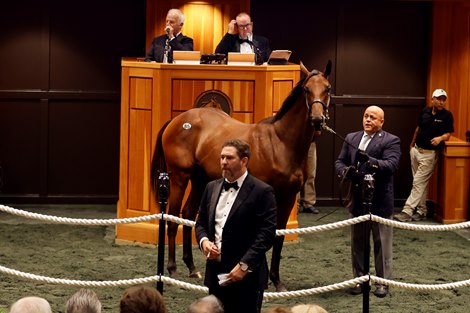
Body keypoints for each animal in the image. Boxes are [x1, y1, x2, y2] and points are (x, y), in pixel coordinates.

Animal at [151, 60, 330, 290]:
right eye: (306, 89)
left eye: (327, 88)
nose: (317, 120)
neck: (281, 142)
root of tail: (178, 119)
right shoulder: (274, 197)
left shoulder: (288, 197)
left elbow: (278, 237)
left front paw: (275, 281)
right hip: (179, 178)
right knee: (172, 219)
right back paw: (172, 270)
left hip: (200, 180)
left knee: (189, 214)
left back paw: (191, 268)